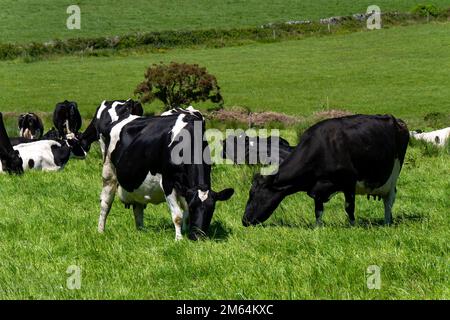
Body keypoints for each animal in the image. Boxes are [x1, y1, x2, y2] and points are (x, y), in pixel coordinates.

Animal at [79, 100, 234, 240]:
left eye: (212, 209)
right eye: (193, 207)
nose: (198, 236)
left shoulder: (185, 187)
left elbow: (184, 213)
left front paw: (184, 231)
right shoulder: (168, 182)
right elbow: (178, 215)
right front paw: (179, 239)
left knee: (138, 206)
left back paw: (141, 232)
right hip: (108, 171)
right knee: (106, 202)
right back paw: (101, 231)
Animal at [244, 115, 410, 228]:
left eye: (254, 194)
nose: (244, 220)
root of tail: (397, 120)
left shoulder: (349, 182)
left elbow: (349, 207)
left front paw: (352, 226)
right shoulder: (317, 188)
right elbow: (318, 210)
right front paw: (317, 227)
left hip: (393, 174)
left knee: (389, 200)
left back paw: (387, 222)